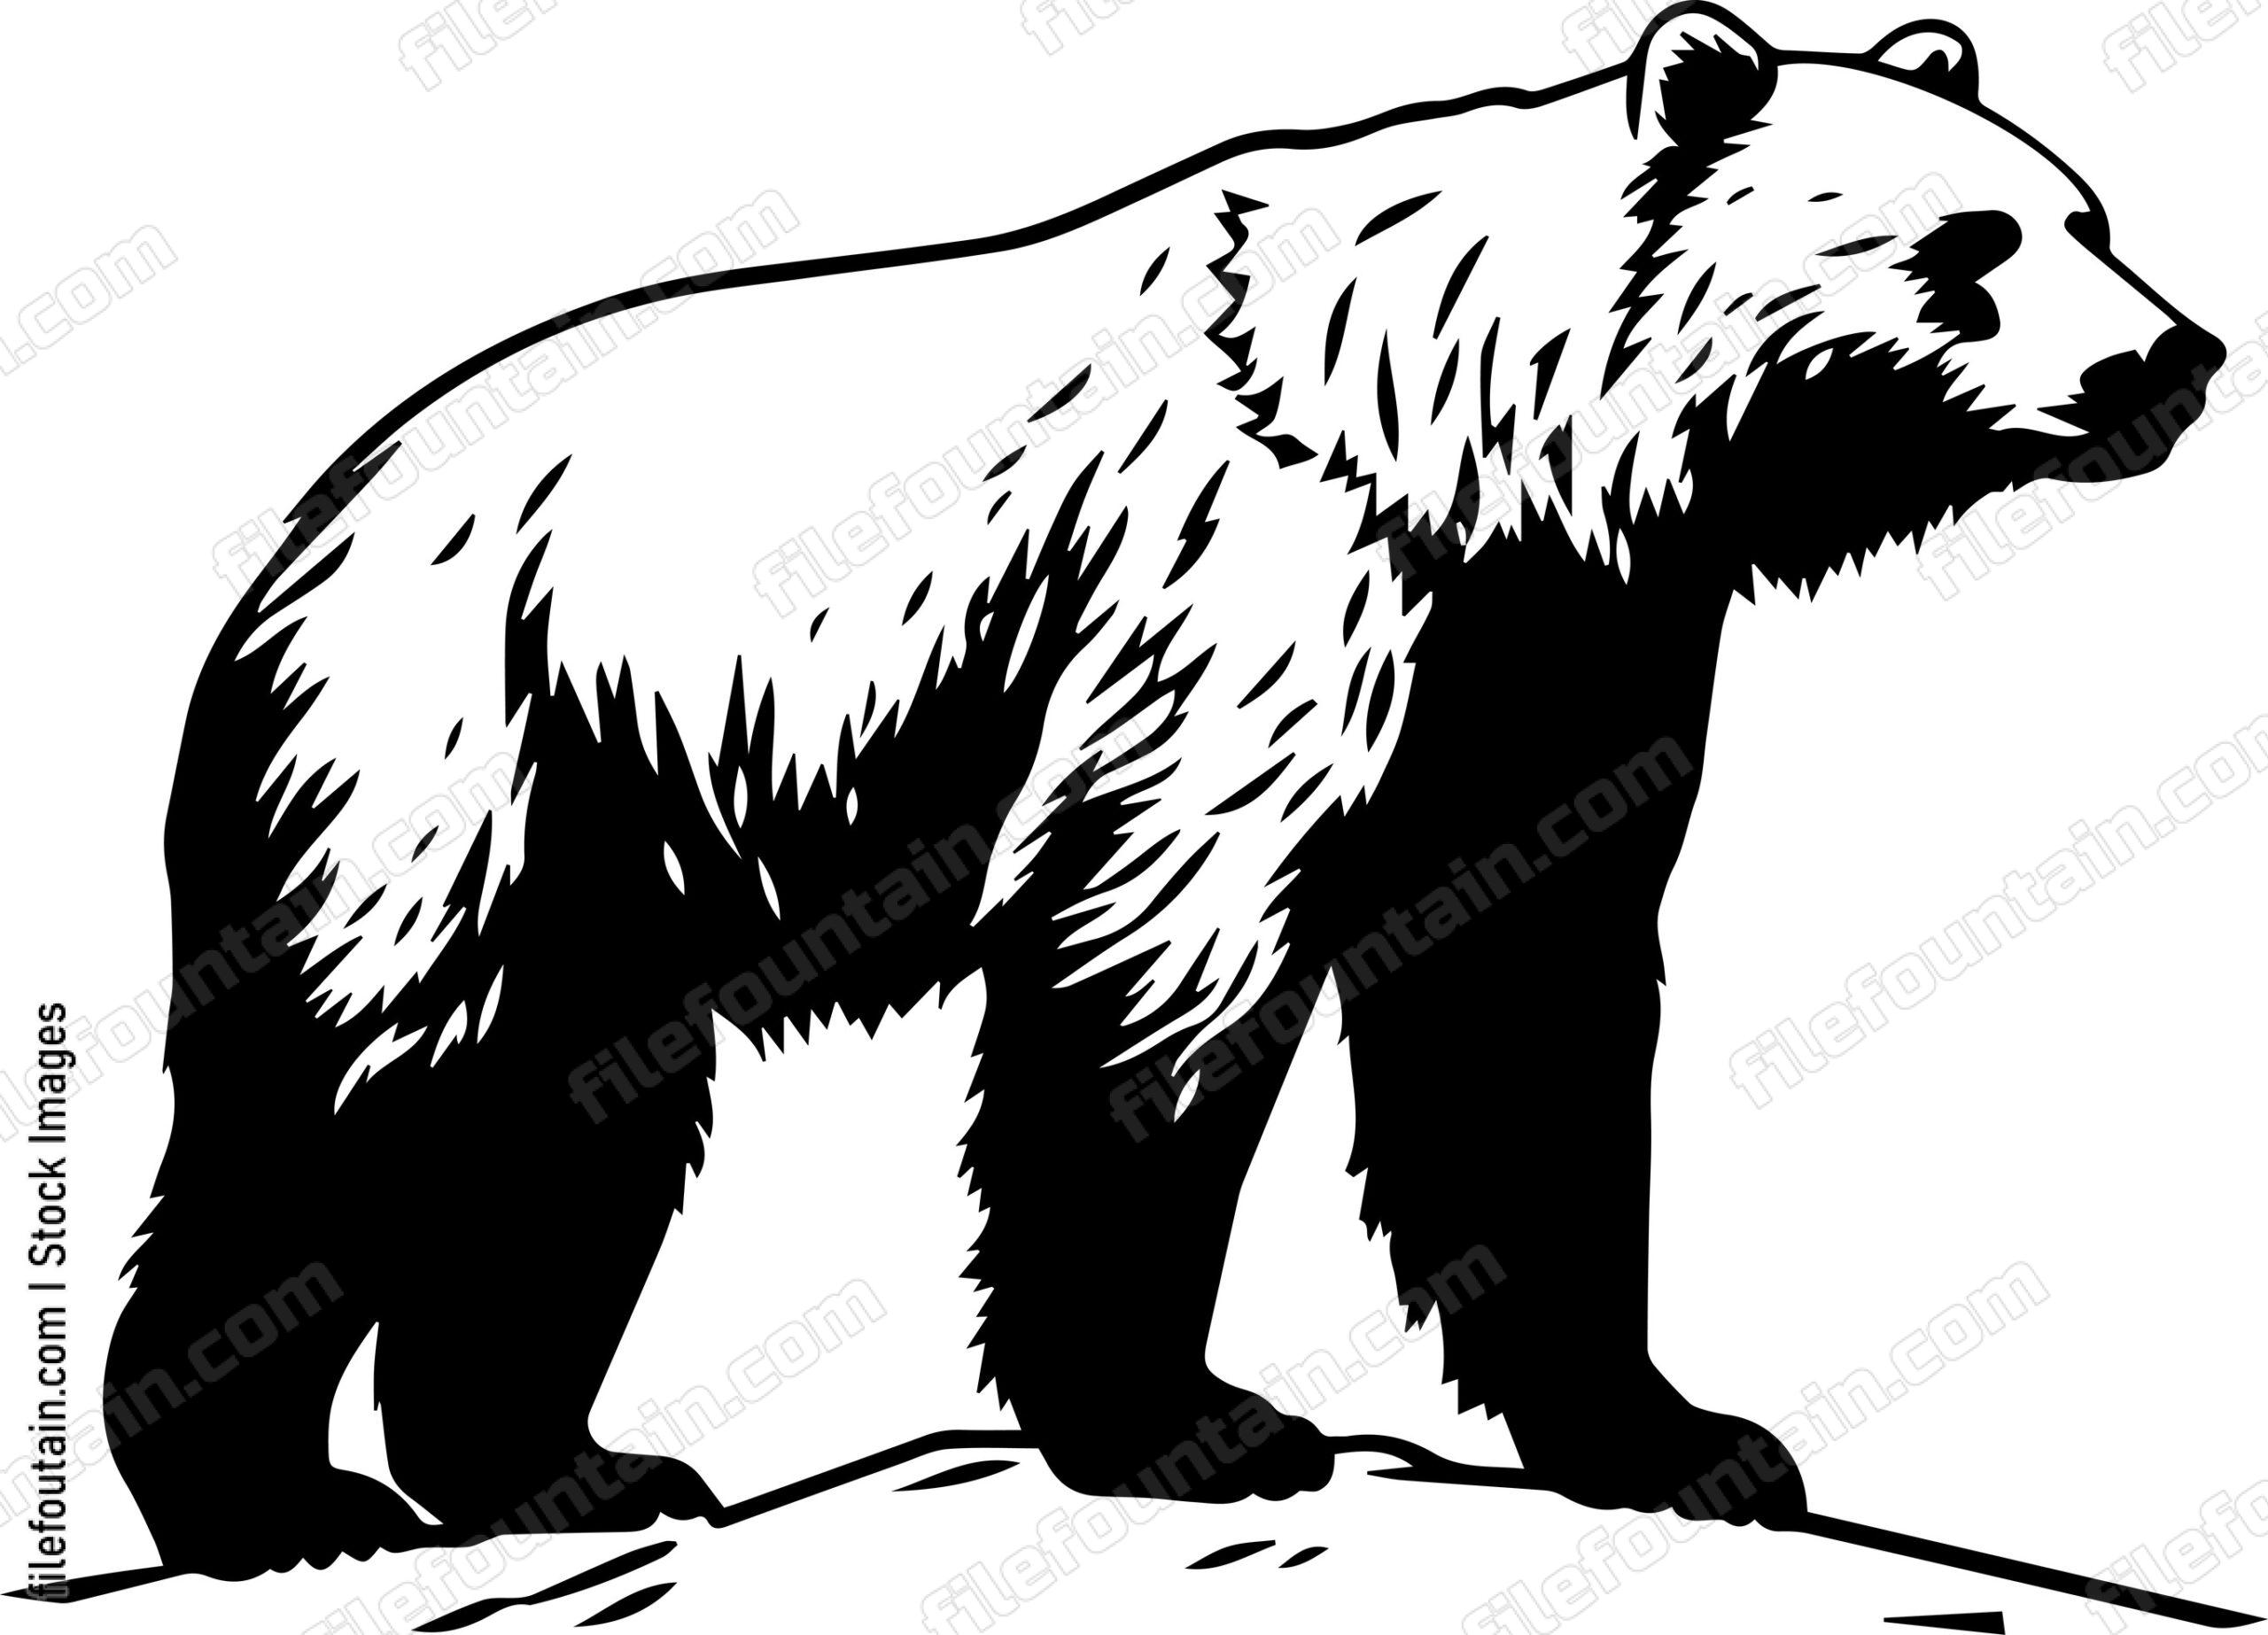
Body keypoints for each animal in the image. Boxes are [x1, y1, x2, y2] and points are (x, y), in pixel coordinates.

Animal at [106, 2, 2224, 1576]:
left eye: (2087, 214)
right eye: (1967, 248)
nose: (2177, 357)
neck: (1484, 440)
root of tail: (302, 531)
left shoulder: (1547, 657)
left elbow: (1523, 1017)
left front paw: (1681, 1433)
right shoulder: (1249, 591)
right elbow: (1146, 964)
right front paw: (1194, 1421)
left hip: (603, 830)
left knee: (567, 1120)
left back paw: (563, 1466)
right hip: (462, 744)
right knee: (349, 1083)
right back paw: (271, 1496)